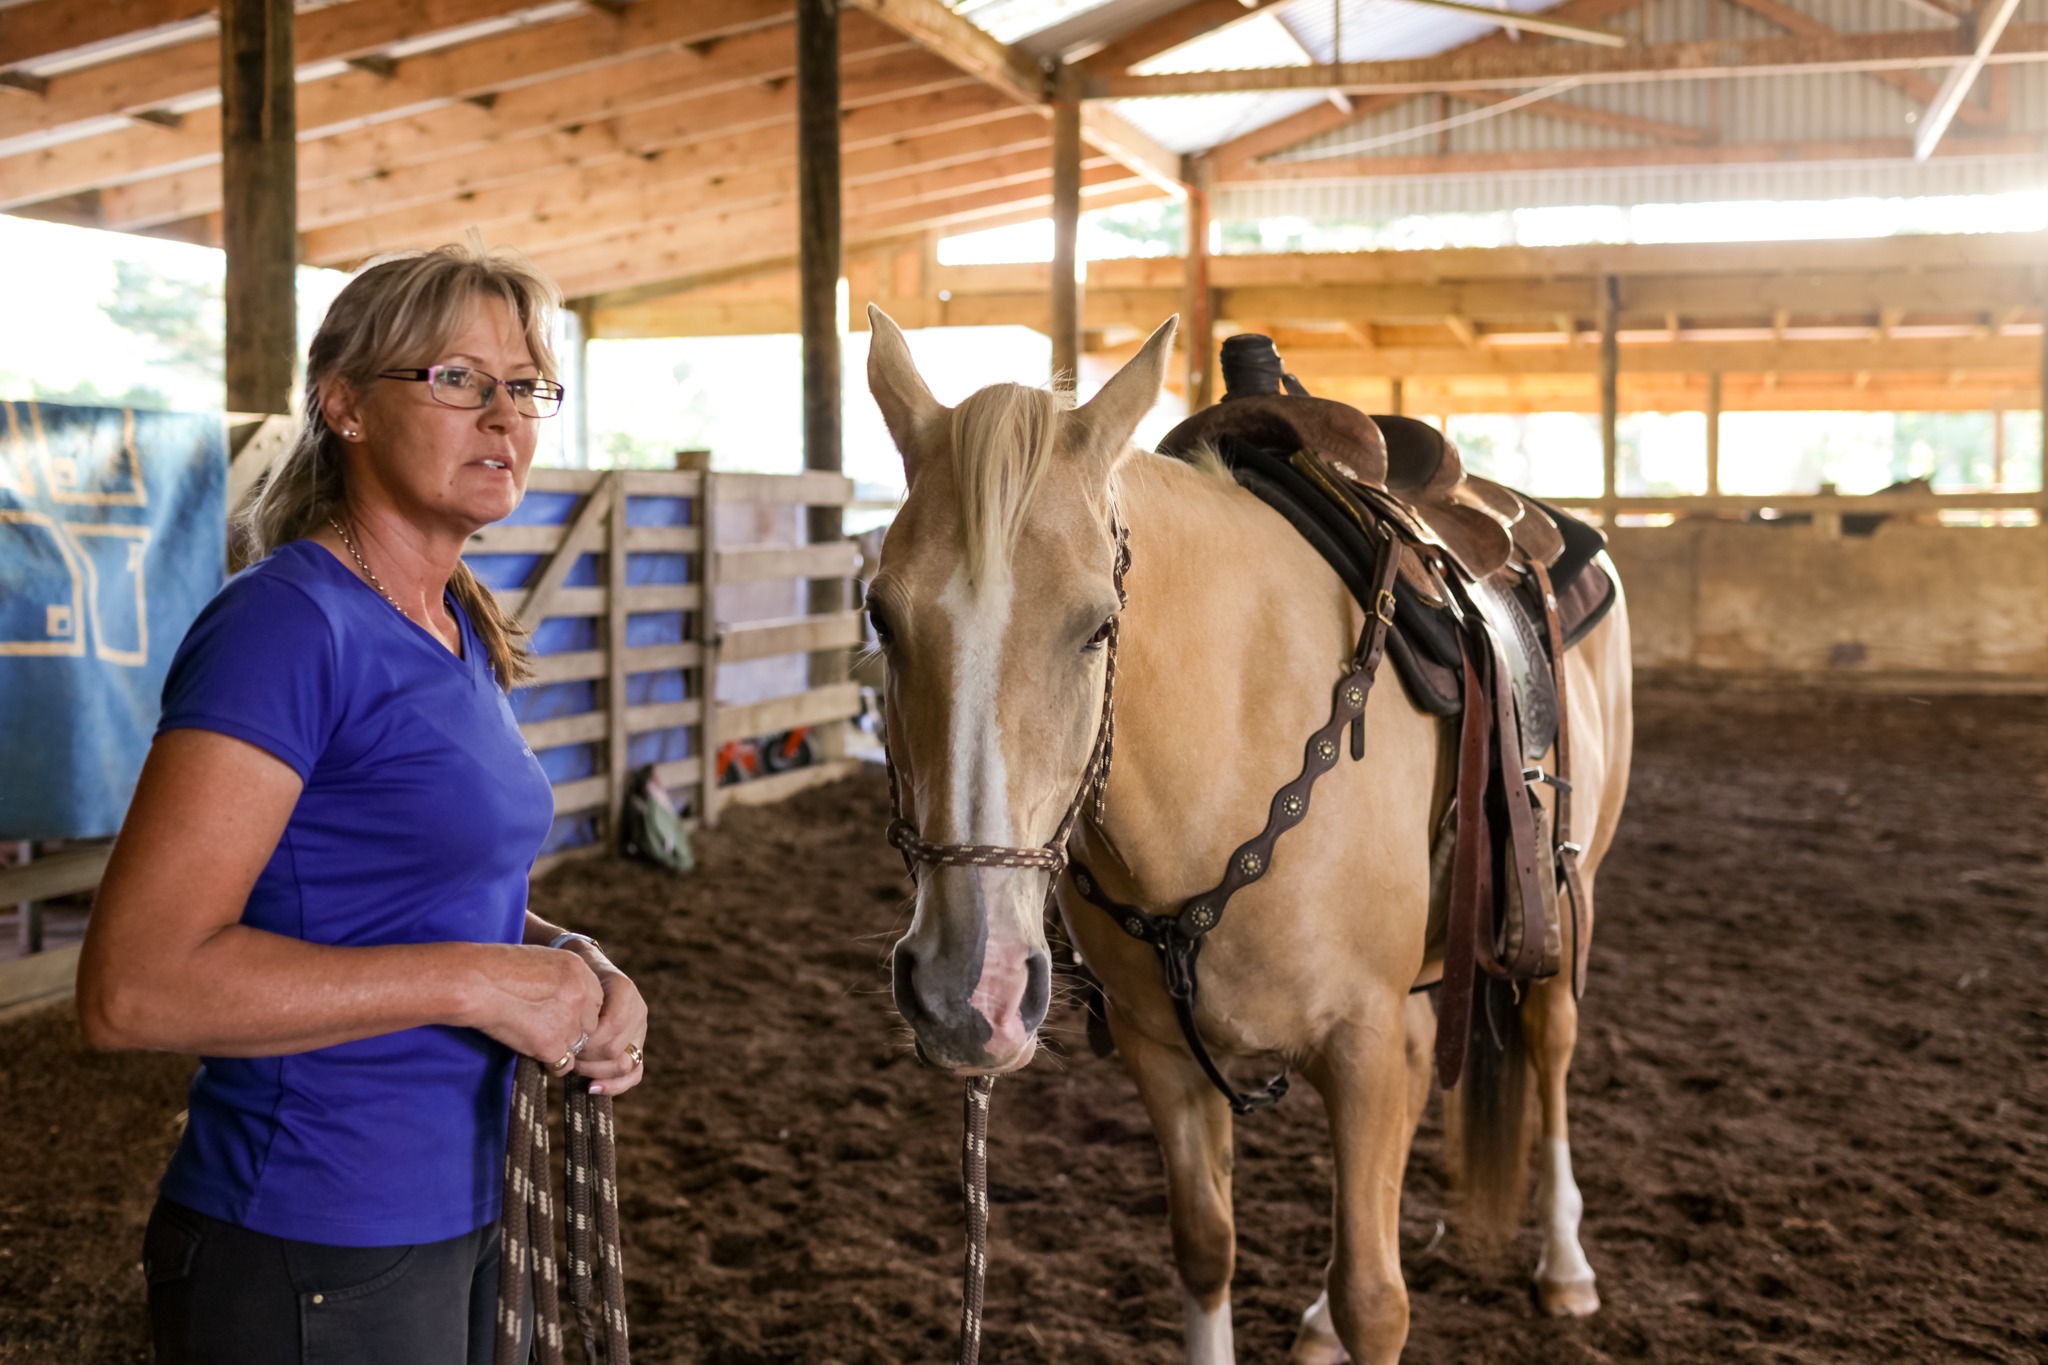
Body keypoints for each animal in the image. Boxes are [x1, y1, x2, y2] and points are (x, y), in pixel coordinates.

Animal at [863, 307, 1633, 1364]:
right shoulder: (1162, 1054)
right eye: (879, 615)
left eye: (1098, 626)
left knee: (1551, 1045)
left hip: (1561, 899)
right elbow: (1206, 1246)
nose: (967, 991)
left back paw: (1566, 1265)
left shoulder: (1357, 1040)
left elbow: (1374, 1296)